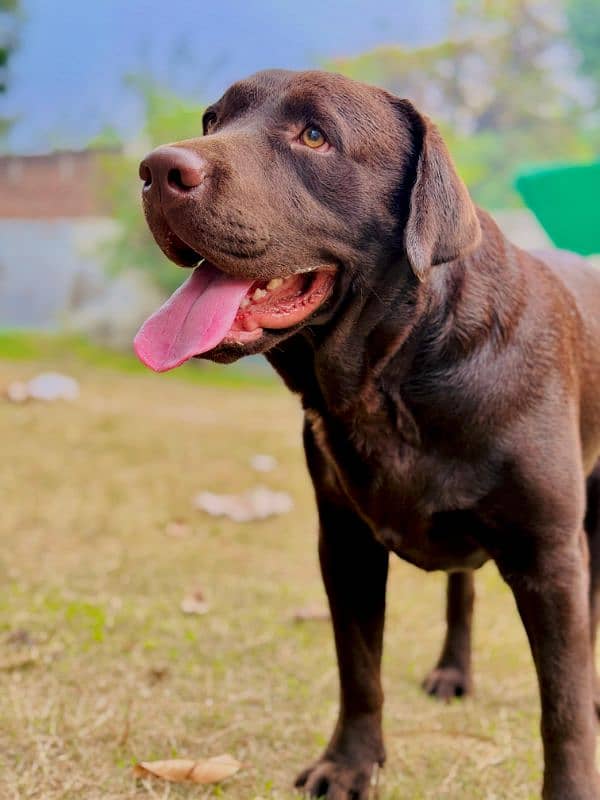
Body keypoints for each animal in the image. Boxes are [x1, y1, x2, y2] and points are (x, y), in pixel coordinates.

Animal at [136, 72, 600, 796]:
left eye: (314, 136)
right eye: (211, 121)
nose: (157, 169)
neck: (398, 372)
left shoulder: (550, 556)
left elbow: (564, 709)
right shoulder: (345, 542)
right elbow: (359, 669)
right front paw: (350, 762)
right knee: (462, 590)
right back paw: (453, 670)